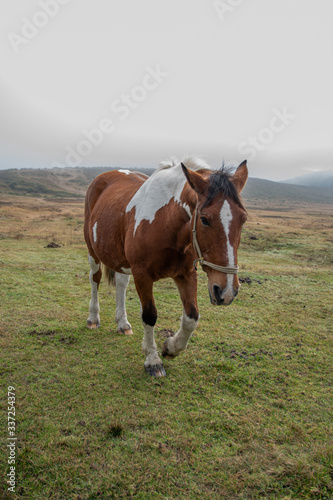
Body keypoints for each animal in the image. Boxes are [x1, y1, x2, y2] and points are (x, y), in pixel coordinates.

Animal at [84, 156, 248, 376]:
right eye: (204, 219)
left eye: (243, 219)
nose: (227, 291)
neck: (166, 222)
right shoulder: (142, 275)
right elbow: (150, 315)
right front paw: (153, 360)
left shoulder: (186, 274)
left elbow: (191, 318)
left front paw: (171, 348)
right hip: (93, 251)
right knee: (95, 279)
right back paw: (93, 318)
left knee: (121, 283)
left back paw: (122, 323)